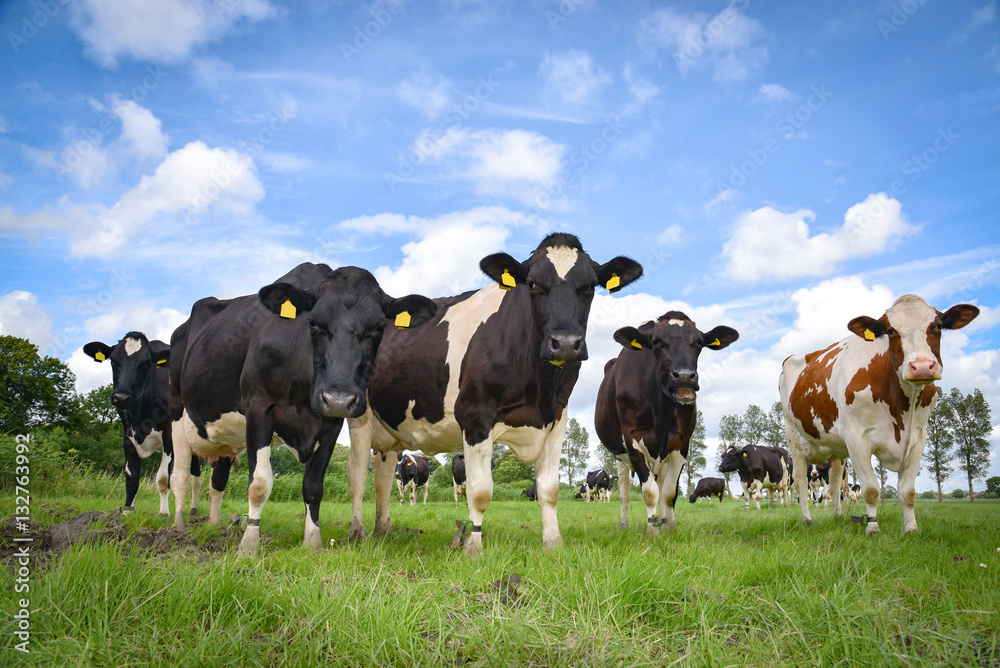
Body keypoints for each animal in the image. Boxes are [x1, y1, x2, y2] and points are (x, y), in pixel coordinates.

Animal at [85, 332, 204, 516]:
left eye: (146, 363)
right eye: (113, 361)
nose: (122, 397)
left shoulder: (169, 434)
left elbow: (163, 478)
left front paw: (164, 514)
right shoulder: (127, 433)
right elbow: (132, 477)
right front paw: (127, 511)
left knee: (196, 477)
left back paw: (193, 511)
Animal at [167, 264, 434, 556]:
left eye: (378, 328)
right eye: (314, 323)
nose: (338, 398)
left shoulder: (331, 423)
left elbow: (313, 486)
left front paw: (313, 541)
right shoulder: (258, 408)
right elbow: (259, 484)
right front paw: (248, 545)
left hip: (225, 442)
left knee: (217, 481)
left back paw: (214, 525)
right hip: (175, 411)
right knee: (179, 475)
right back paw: (178, 528)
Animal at [344, 232, 640, 556]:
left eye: (590, 286)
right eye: (532, 284)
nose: (564, 343)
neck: (540, 389)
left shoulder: (556, 419)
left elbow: (549, 489)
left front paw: (553, 543)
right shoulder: (476, 418)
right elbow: (480, 491)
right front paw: (473, 547)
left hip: (389, 432)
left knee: (383, 479)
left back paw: (383, 529)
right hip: (358, 414)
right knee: (357, 476)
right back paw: (358, 532)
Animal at [592, 310, 744, 536]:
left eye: (699, 342)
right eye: (656, 342)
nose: (684, 376)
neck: (661, 410)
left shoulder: (681, 443)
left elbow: (669, 492)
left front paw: (670, 528)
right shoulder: (633, 440)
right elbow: (649, 493)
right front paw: (652, 532)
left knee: (662, 484)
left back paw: (662, 520)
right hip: (619, 455)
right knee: (625, 492)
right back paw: (624, 525)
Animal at [776, 294, 980, 536]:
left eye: (938, 326)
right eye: (891, 330)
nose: (922, 367)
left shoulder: (919, 437)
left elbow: (908, 491)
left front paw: (911, 530)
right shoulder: (856, 439)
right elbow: (871, 490)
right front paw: (872, 529)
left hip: (837, 451)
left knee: (834, 486)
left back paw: (837, 517)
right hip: (794, 438)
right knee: (800, 482)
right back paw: (808, 520)